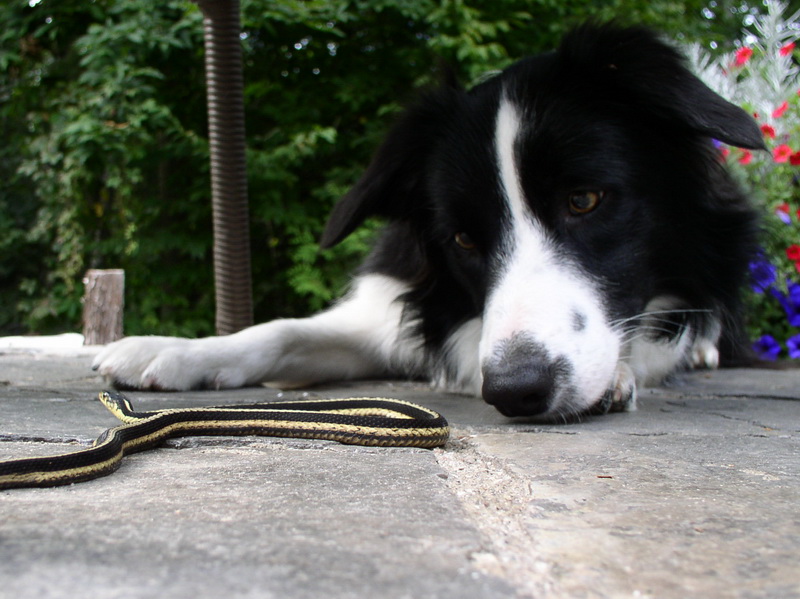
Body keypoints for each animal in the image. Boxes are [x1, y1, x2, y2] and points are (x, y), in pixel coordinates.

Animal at [94, 24, 764, 422]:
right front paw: (175, 350)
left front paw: (623, 374)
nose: (515, 391)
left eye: (584, 201)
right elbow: (279, 332)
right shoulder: (389, 307)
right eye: (463, 238)